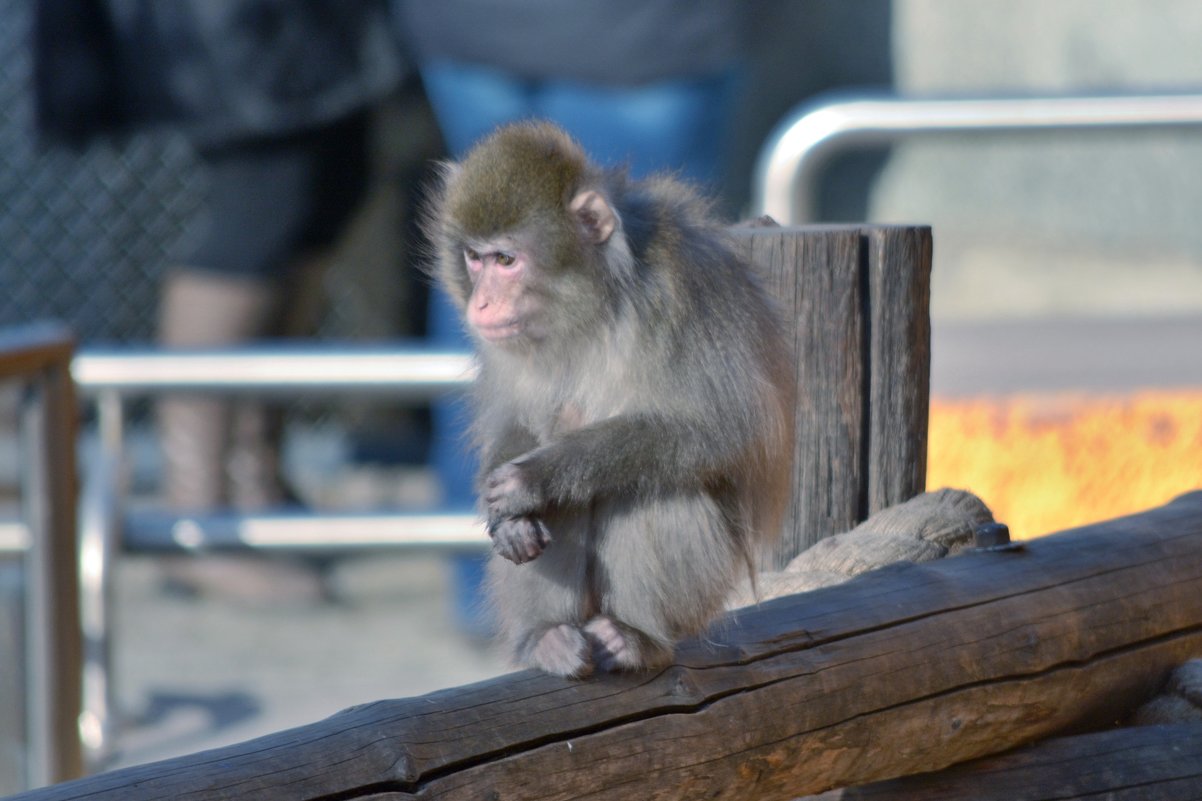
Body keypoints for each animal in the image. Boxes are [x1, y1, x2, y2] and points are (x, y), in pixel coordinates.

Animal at [425, 121, 798, 678]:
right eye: (474, 257)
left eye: (506, 260)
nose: (482, 303)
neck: (593, 303)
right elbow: (517, 424)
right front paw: (506, 517)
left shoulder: (681, 294)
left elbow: (727, 428)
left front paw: (537, 477)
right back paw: (549, 638)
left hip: (706, 594)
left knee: (656, 488)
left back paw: (636, 638)